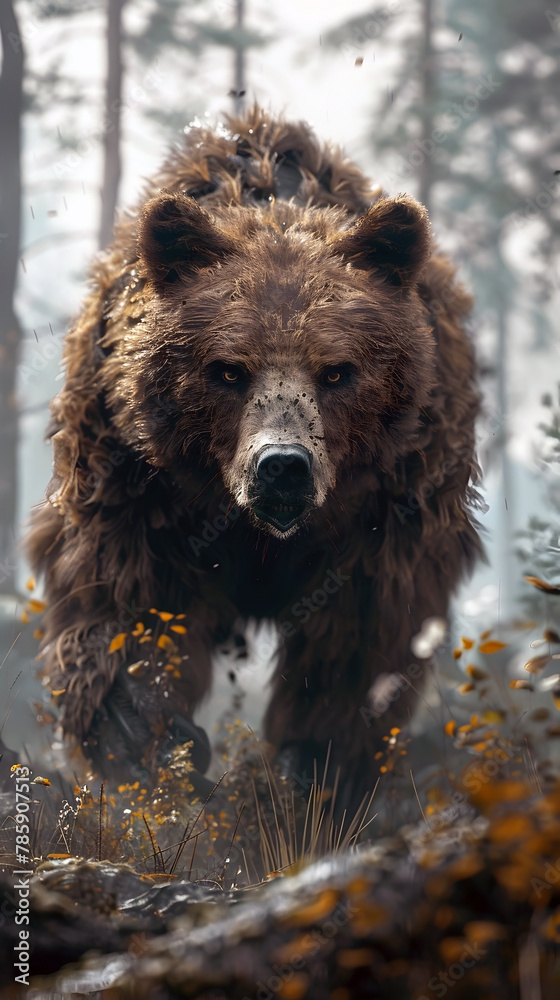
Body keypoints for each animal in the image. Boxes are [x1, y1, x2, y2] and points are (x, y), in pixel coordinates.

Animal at [27, 105, 482, 814]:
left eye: (337, 371)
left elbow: (359, 638)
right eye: (227, 369)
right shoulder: (133, 475)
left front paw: (311, 768)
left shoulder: (390, 505)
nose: (282, 466)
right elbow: (127, 598)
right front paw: (154, 743)